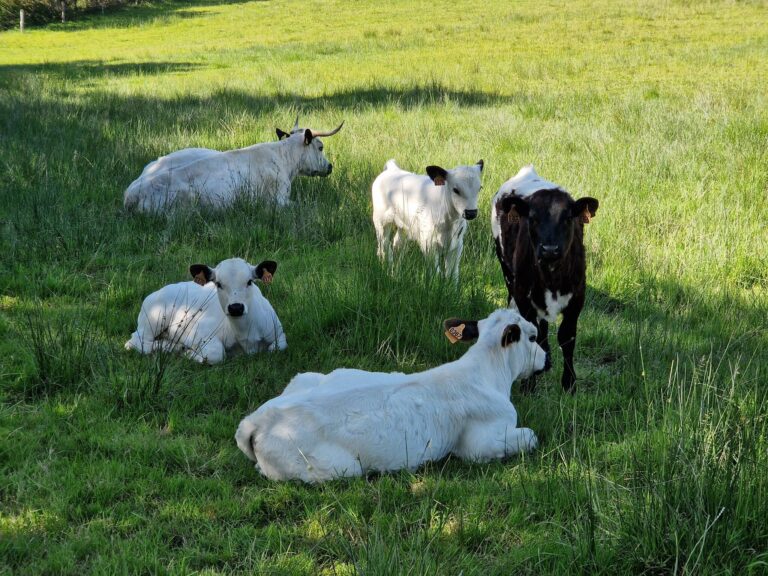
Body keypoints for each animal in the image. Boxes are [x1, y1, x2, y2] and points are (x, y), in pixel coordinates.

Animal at [126, 258, 288, 362]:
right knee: (137, 342)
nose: (236, 308)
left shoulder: (279, 334)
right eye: (218, 284)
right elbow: (217, 354)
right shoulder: (200, 334)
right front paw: (188, 353)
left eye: (249, 282)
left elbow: (277, 348)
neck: (245, 336)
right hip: (153, 319)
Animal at [237, 308, 544, 484]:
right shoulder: (479, 444)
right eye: (532, 337)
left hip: (306, 376)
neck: (487, 374)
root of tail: (257, 420)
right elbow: (531, 435)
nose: (547, 358)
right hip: (337, 468)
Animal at [492, 165, 600, 392]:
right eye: (533, 218)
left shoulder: (578, 298)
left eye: (568, 218)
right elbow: (533, 332)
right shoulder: (523, 296)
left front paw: (569, 384)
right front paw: (529, 384)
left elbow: (567, 337)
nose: (550, 249)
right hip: (507, 272)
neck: (552, 278)